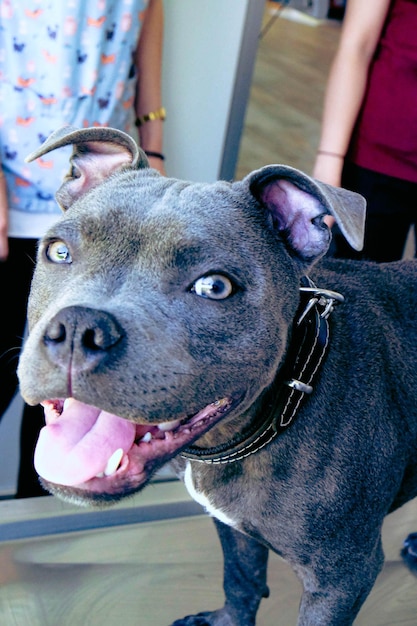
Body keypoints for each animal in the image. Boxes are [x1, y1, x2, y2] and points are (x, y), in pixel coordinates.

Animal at [17, 127, 416, 624]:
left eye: (214, 286)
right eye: (59, 251)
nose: (77, 328)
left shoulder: (342, 577)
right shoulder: (232, 527)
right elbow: (241, 579)